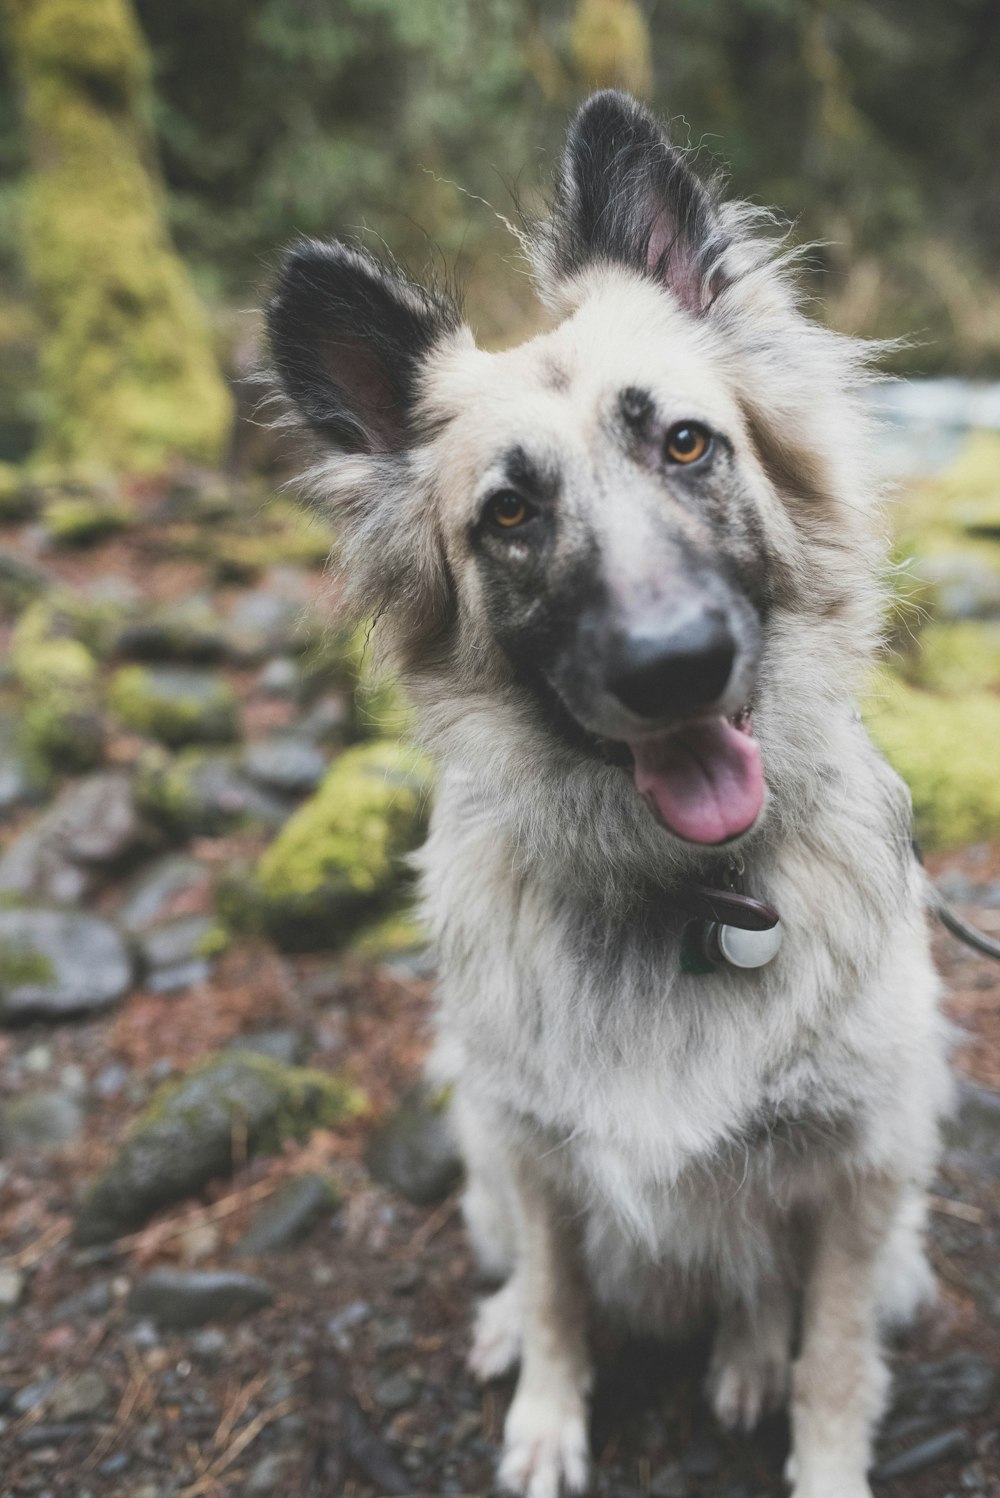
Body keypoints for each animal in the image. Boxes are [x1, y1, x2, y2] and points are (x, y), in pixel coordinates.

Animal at [267, 93, 952, 1498]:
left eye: (686, 443)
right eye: (508, 514)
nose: (673, 664)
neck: (692, 895)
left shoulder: (860, 1174)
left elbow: (831, 1356)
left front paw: (818, 1448)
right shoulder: (529, 1149)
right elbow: (556, 1296)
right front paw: (543, 1413)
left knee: (763, 1295)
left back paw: (741, 1355)